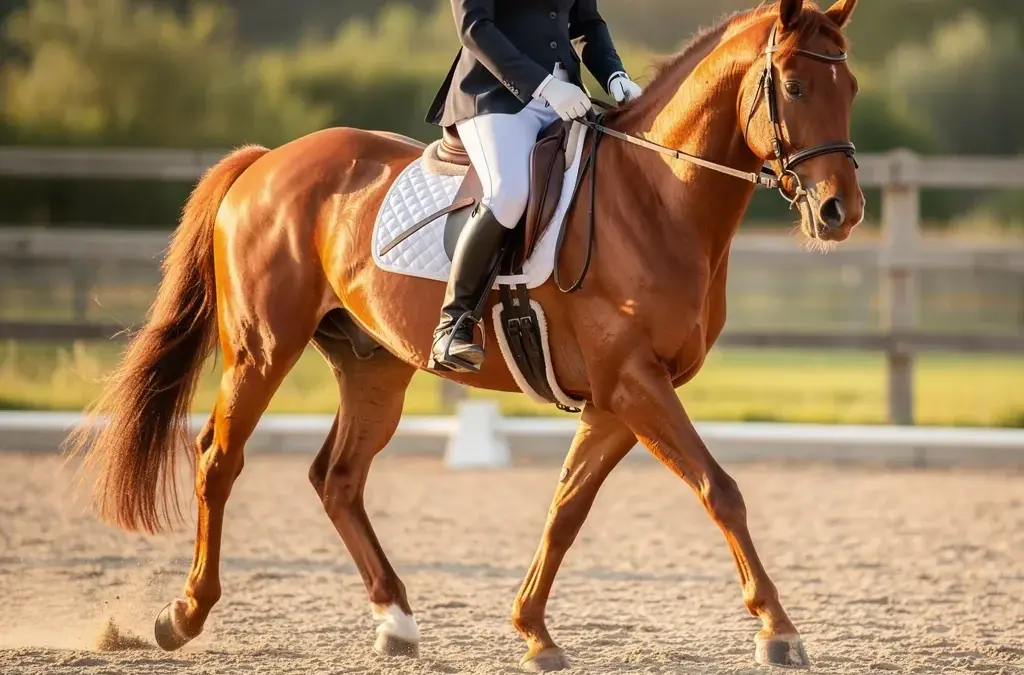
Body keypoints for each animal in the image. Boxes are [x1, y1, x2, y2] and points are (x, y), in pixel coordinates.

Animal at [68, 0, 864, 670]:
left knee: (338, 478)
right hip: (263, 350)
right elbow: (718, 488)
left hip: (375, 366)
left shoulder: (616, 399)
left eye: (850, 86)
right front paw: (779, 630)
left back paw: (396, 620)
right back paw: (183, 615)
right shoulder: (635, 383)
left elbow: (566, 508)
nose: (840, 212)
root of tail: (265, 160)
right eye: (794, 86)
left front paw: (534, 632)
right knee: (218, 460)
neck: (656, 196)